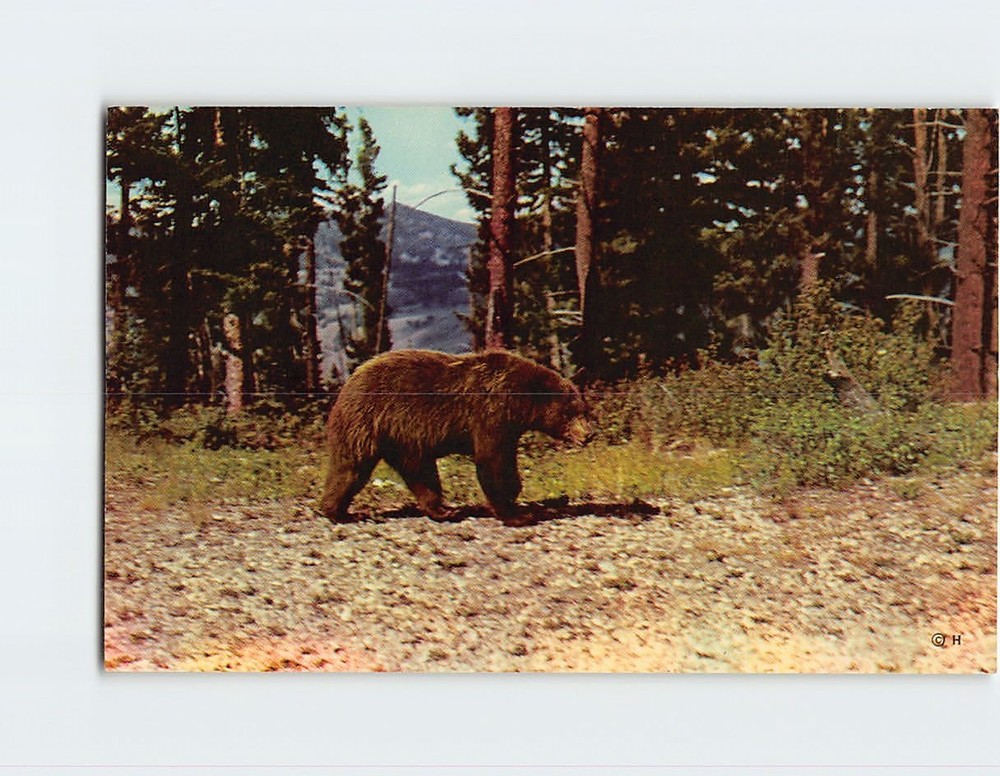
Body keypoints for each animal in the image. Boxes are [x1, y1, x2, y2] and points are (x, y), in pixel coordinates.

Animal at [319, 349, 592, 524]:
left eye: (584, 410)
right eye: (571, 413)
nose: (588, 435)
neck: (522, 401)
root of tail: (350, 381)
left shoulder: (509, 427)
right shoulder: (492, 413)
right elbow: (492, 460)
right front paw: (517, 513)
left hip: (402, 439)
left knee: (420, 473)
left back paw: (442, 510)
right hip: (367, 422)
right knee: (350, 468)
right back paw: (338, 512)